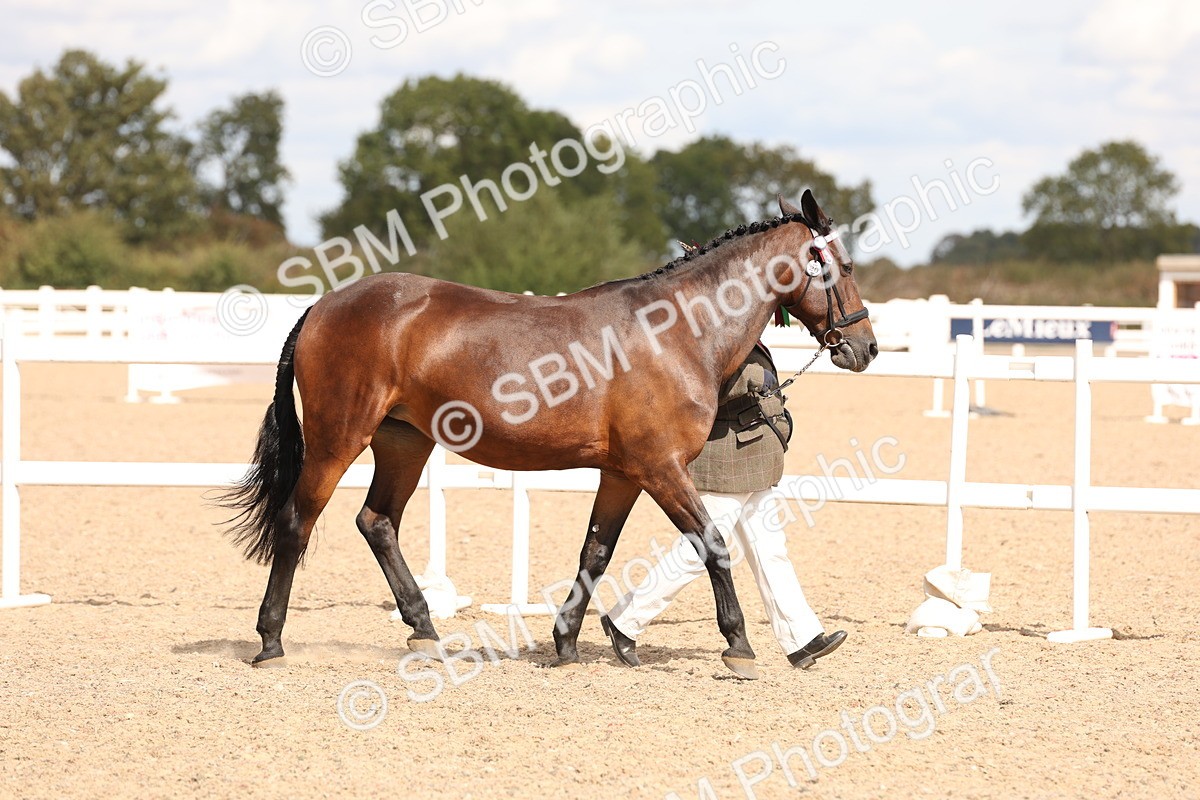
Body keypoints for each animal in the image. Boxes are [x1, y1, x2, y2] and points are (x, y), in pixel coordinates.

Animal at [220, 190, 876, 679]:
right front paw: (738, 646)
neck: (676, 330)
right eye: (842, 267)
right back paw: (271, 642)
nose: (865, 347)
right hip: (338, 439)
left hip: (405, 442)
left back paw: (426, 631)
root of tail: (323, 305)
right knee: (297, 522)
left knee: (377, 522)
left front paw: (569, 642)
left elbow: (596, 552)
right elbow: (712, 544)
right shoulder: (660, 467)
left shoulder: (622, 472)